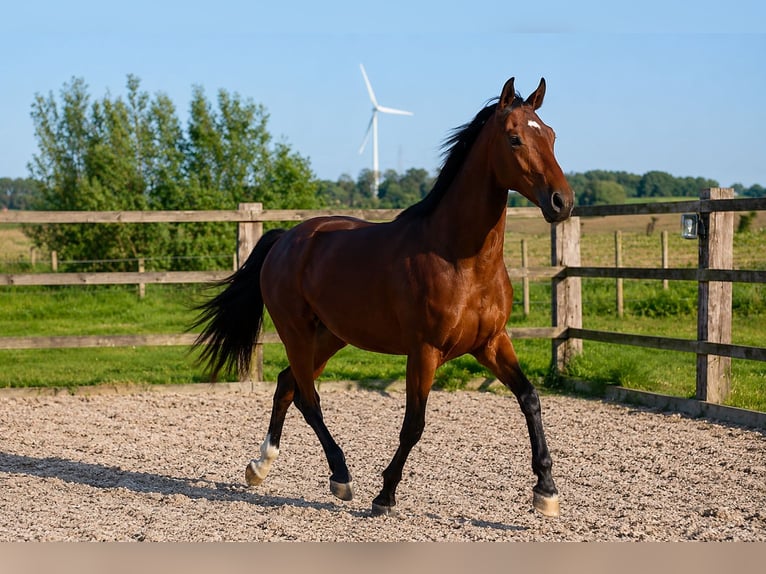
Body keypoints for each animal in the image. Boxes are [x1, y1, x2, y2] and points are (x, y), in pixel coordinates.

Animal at [193, 77, 574, 518]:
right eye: (515, 138)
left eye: (551, 135)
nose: (562, 202)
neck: (460, 258)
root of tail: (285, 238)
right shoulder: (424, 351)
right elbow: (414, 424)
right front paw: (385, 494)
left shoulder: (491, 343)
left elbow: (530, 399)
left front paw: (546, 491)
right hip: (297, 333)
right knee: (308, 397)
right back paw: (340, 477)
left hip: (330, 335)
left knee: (288, 384)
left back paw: (259, 466)